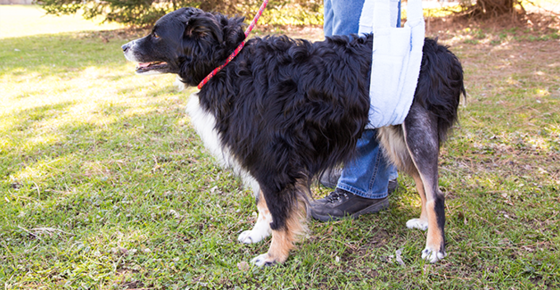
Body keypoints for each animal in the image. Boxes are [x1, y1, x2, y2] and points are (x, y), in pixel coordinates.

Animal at [121, 6, 464, 266]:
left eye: (156, 34)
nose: (124, 47)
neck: (228, 64)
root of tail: (440, 51)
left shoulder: (272, 160)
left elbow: (279, 214)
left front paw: (274, 256)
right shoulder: (261, 157)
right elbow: (264, 205)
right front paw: (258, 235)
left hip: (416, 132)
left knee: (436, 193)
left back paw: (435, 247)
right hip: (397, 136)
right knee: (424, 186)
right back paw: (424, 223)